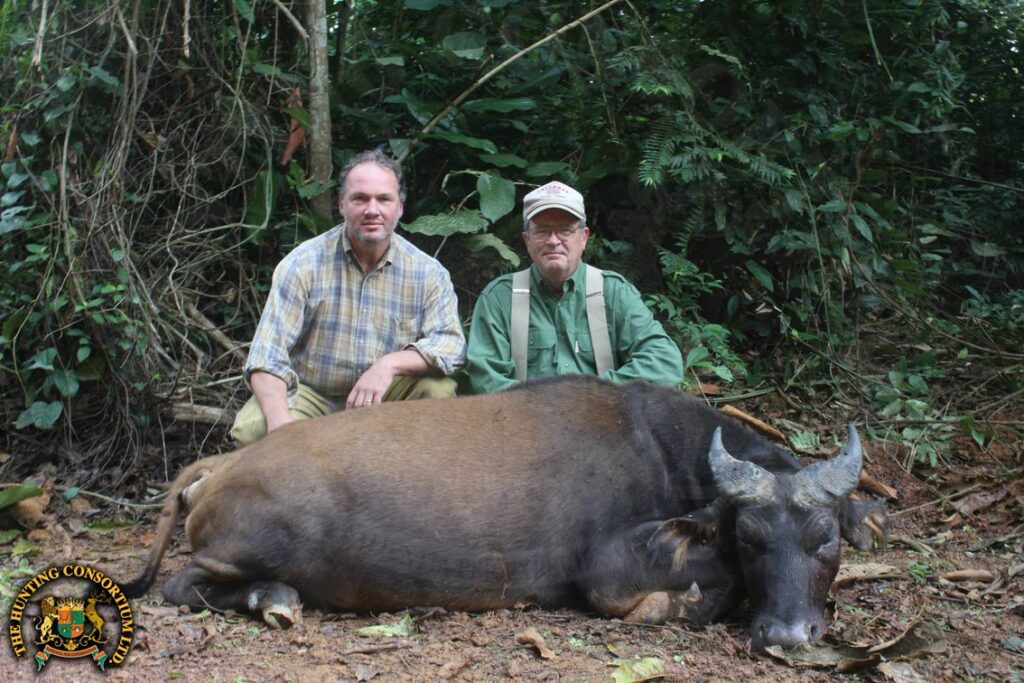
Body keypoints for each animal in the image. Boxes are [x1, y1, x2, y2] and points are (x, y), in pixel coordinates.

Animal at [125, 376, 883, 649]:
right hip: (246, 548)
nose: (788, 633)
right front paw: (676, 603)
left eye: (826, 540)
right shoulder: (605, 572)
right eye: (750, 538)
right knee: (182, 584)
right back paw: (274, 598)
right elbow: (678, 591)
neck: (664, 448)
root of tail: (219, 470)